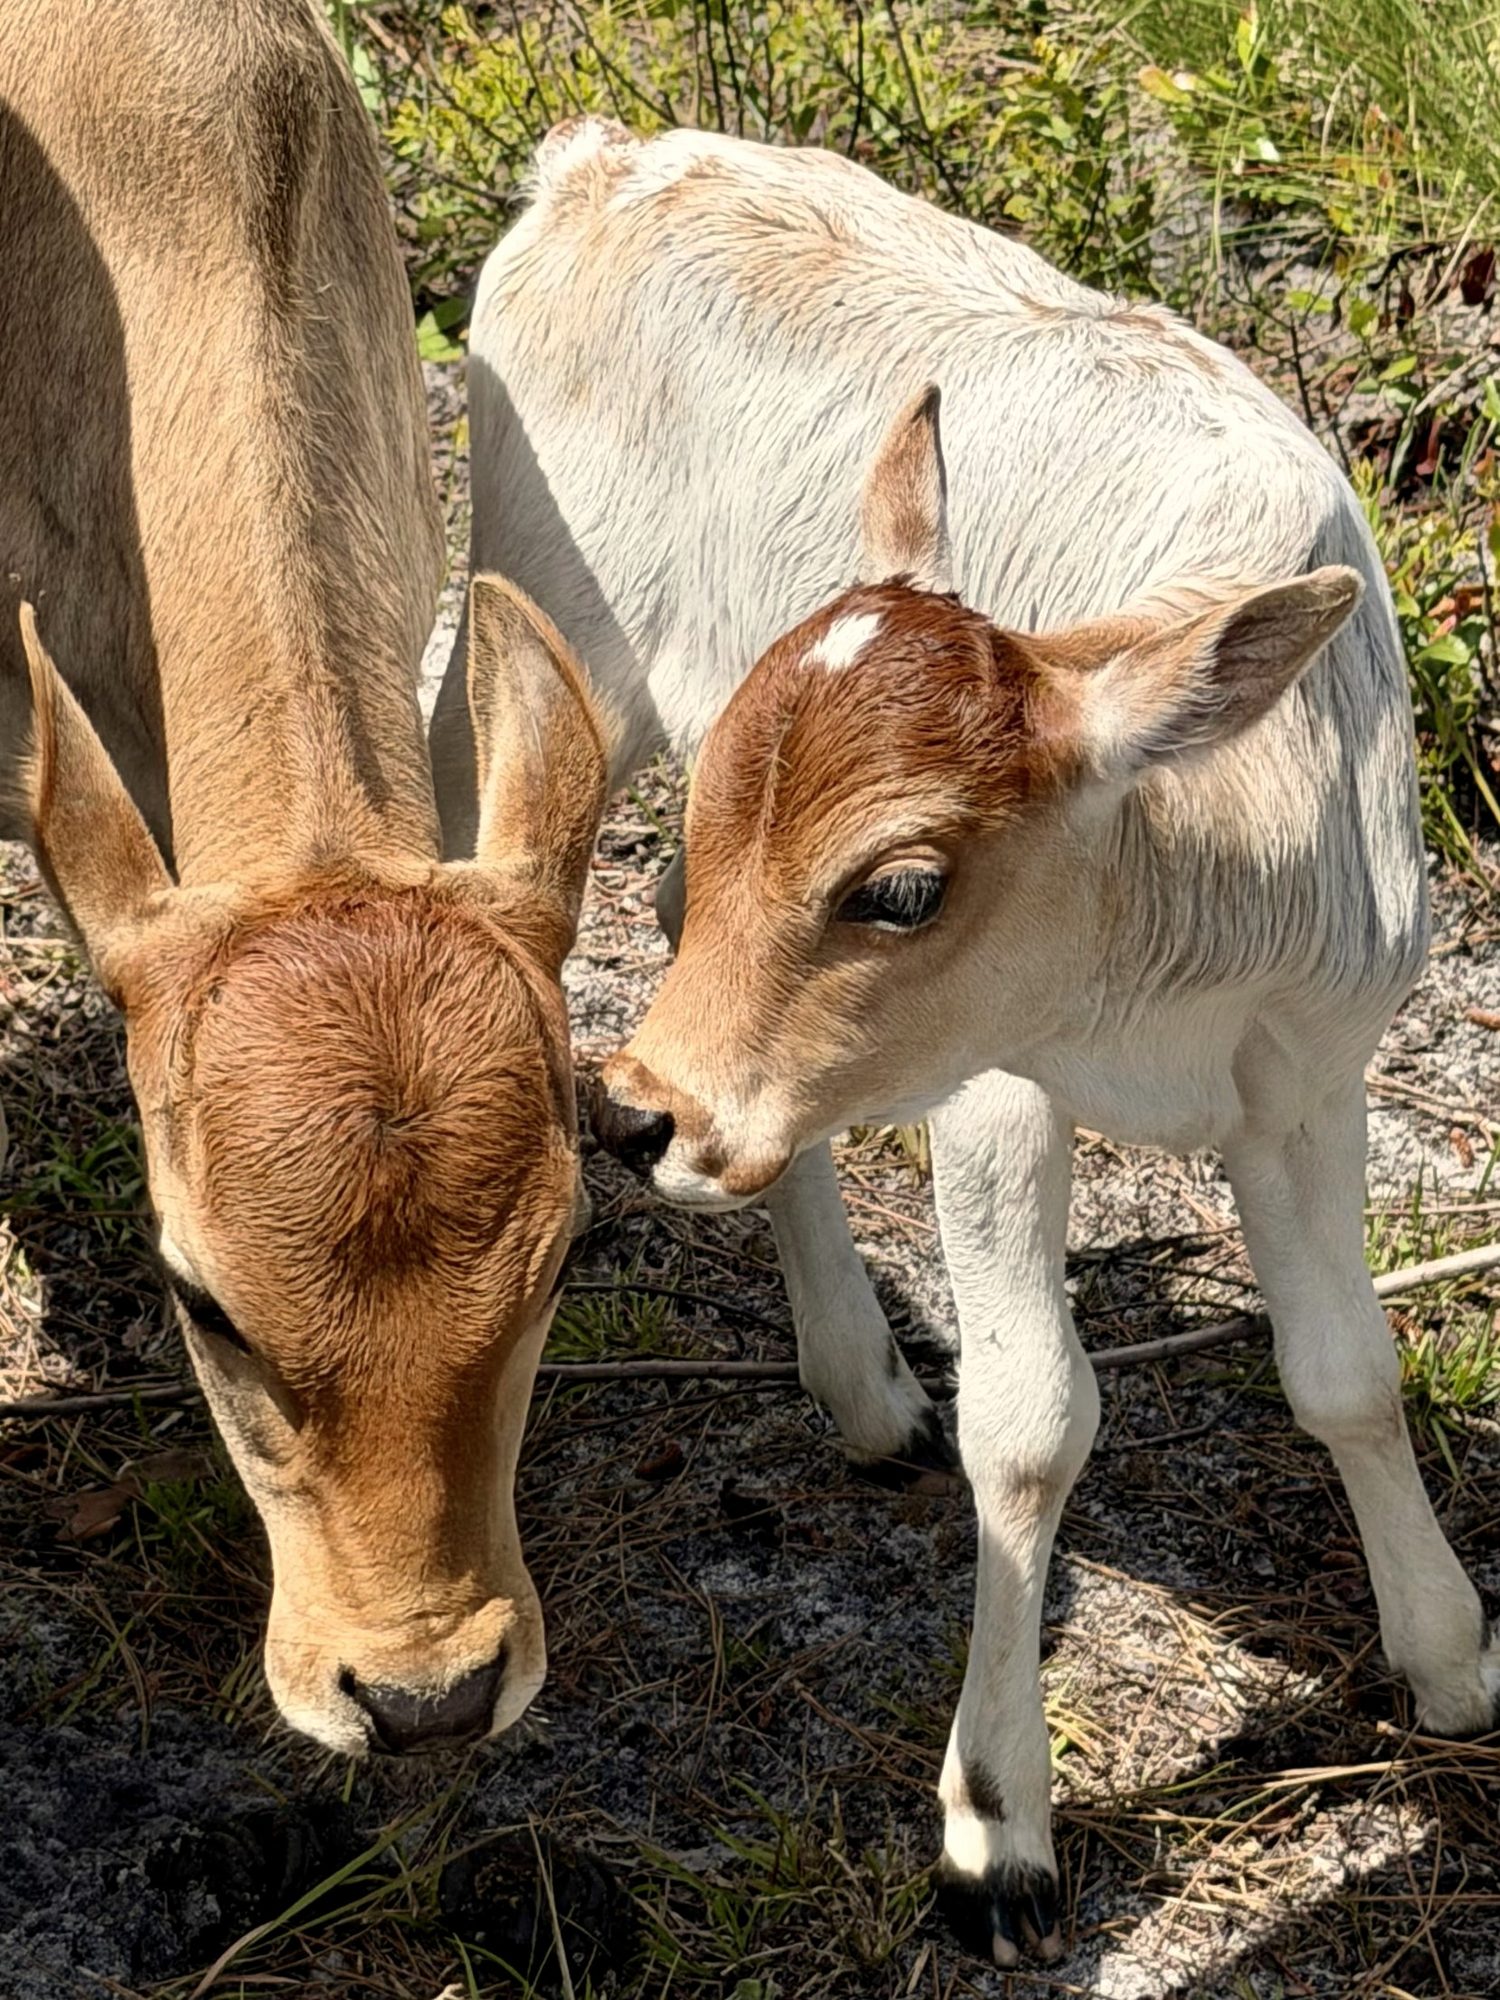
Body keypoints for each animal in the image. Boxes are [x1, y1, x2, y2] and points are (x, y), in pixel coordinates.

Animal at [437, 118, 1496, 1964]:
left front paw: (1446, 1649)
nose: (630, 1116)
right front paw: (999, 1832)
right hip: (539, 616)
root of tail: (613, 152)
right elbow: (1036, 1423)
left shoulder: (1316, 1074)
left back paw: (858, 1381)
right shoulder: (999, 1093)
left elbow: (1347, 1376)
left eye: (903, 886)